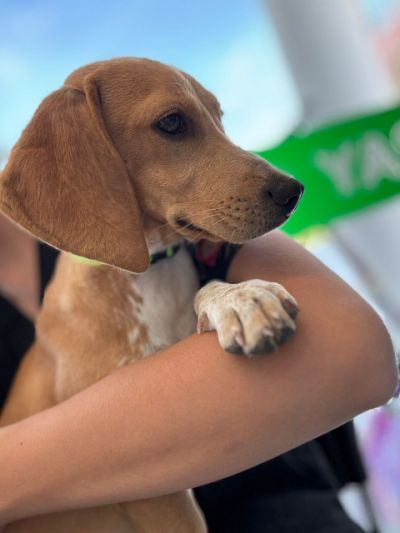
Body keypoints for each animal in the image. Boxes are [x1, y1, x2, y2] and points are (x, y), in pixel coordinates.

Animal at [0, 58, 303, 532]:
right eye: (172, 123)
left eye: (219, 117)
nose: (293, 191)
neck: (149, 278)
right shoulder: (153, 495)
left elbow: (208, 288)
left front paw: (238, 297)